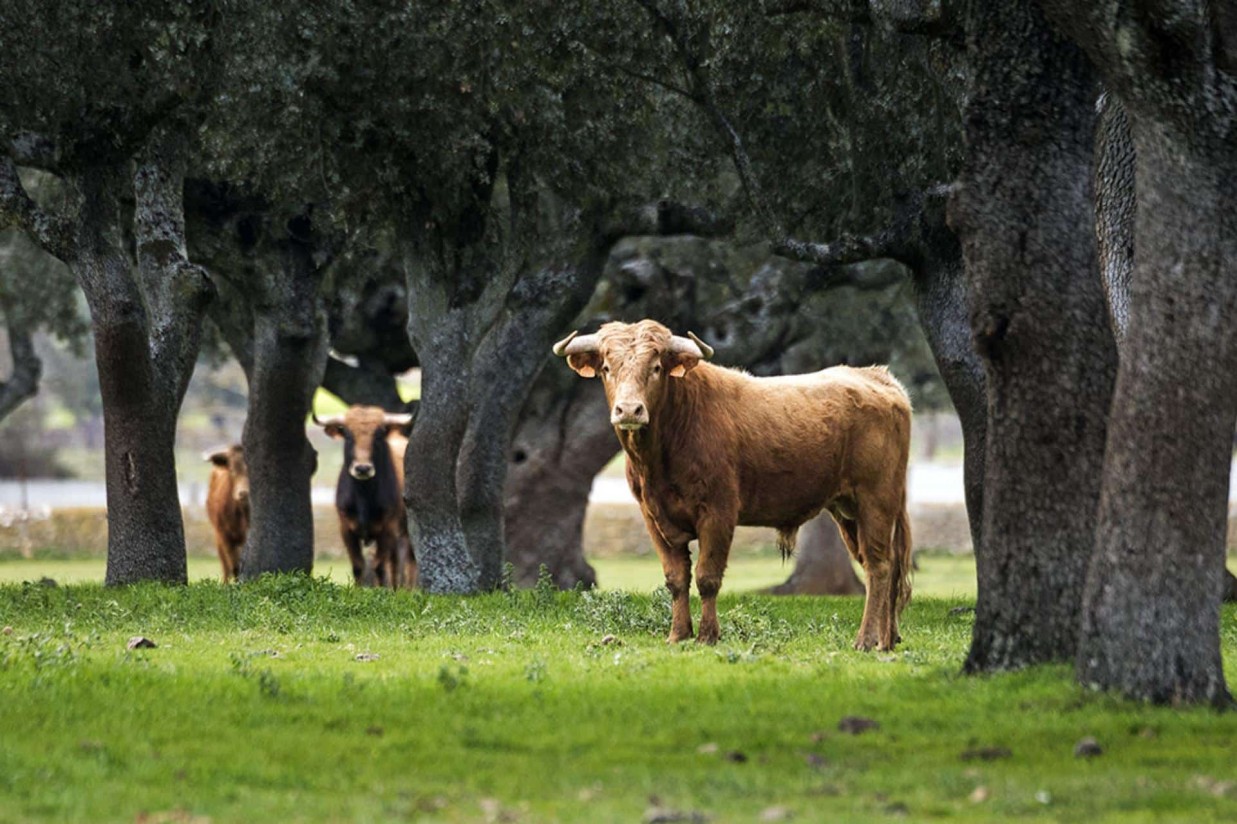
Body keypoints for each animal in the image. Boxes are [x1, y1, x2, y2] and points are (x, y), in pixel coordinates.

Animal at [314, 403, 415, 583]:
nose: (362, 468)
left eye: (379, 434)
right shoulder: (346, 530)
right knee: (395, 562)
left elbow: (379, 567)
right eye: (347, 435)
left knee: (406, 563)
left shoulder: (387, 529)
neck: (363, 497)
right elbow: (358, 566)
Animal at [556, 321, 915, 648]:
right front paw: (678, 634)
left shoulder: (718, 511)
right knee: (880, 565)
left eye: (656, 367)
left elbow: (707, 577)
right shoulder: (654, 518)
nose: (629, 410)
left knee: (879, 566)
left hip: (876, 500)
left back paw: (866, 640)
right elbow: (676, 579)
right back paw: (887, 638)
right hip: (847, 510)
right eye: (606, 367)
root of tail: (878, 378)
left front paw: (707, 635)